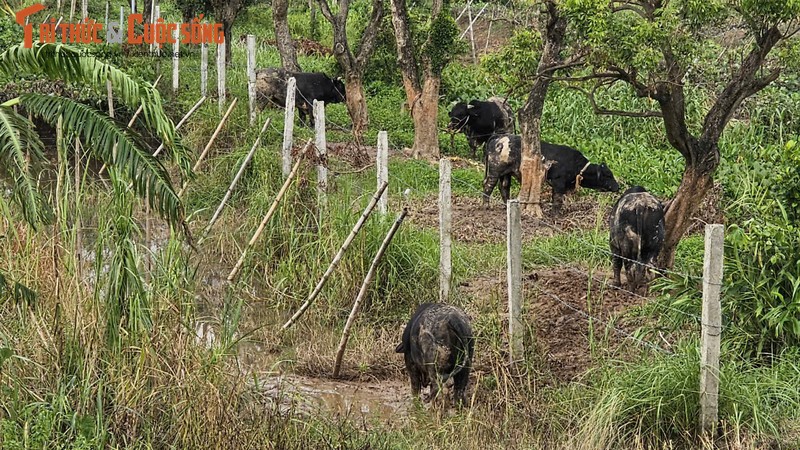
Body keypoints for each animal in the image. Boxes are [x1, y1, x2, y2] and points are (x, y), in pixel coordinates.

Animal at [482, 134, 620, 210]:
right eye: (608, 175)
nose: (618, 187)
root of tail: (499, 137)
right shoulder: (558, 182)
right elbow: (557, 200)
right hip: (494, 171)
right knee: (488, 185)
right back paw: (486, 206)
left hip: (505, 174)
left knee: (504, 187)